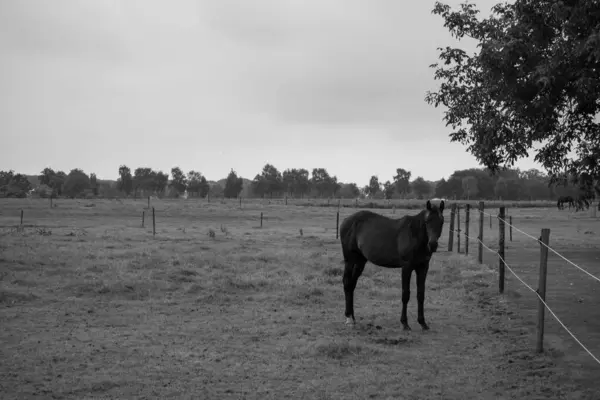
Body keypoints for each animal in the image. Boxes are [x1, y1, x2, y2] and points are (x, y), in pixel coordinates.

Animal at [338, 200, 446, 332]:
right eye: (427, 221)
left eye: (442, 221)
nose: (433, 245)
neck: (414, 235)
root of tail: (346, 220)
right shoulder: (406, 267)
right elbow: (405, 294)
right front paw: (405, 323)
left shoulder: (423, 267)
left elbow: (421, 295)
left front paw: (423, 323)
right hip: (350, 260)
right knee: (347, 283)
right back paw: (348, 318)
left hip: (360, 261)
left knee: (352, 284)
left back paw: (353, 318)